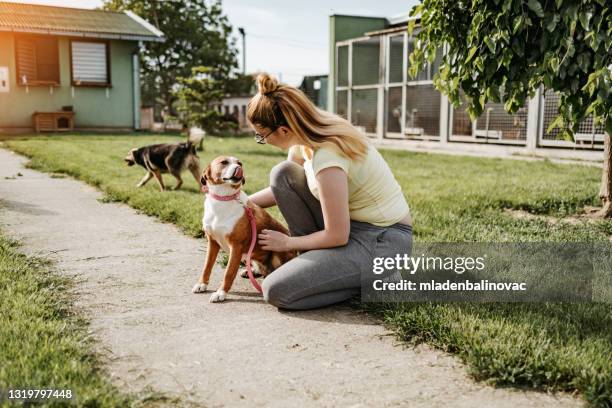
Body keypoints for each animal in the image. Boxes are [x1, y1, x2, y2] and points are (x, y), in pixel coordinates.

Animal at [192, 156, 296, 302]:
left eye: (239, 163)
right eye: (224, 162)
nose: (239, 168)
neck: (223, 199)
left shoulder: (236, 247)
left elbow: (229, 272)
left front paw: (221, 293)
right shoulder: (212, 242)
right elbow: (207, 267)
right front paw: (202, 284)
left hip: (277, 254)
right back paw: (252, 271)